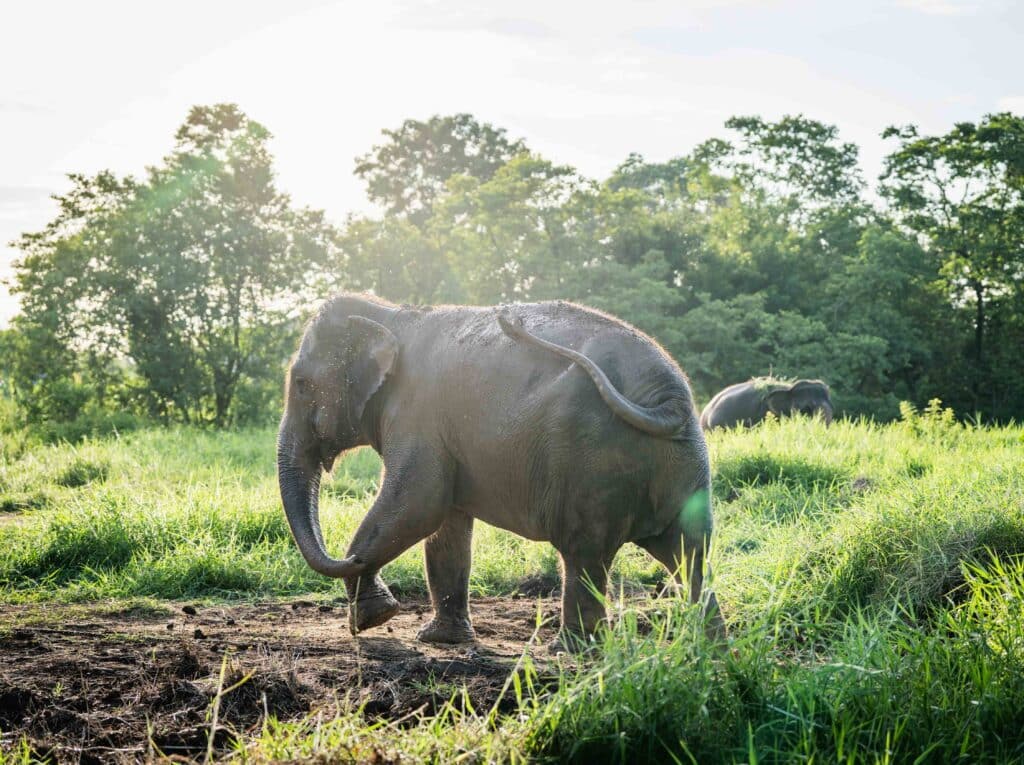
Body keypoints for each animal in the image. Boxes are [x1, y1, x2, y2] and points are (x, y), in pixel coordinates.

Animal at [277, 293, 724, 648]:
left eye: (299, 383)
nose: (351, 557)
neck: (391, 313)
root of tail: (668, 397)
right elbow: (447, 526)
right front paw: (439, 639)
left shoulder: (418, 415)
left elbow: (419, 504)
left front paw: (373, 617)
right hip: (685, 465)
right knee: (689, 553)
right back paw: (709, 641)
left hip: (593, 458)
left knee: (584, 552)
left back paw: (569, 649)